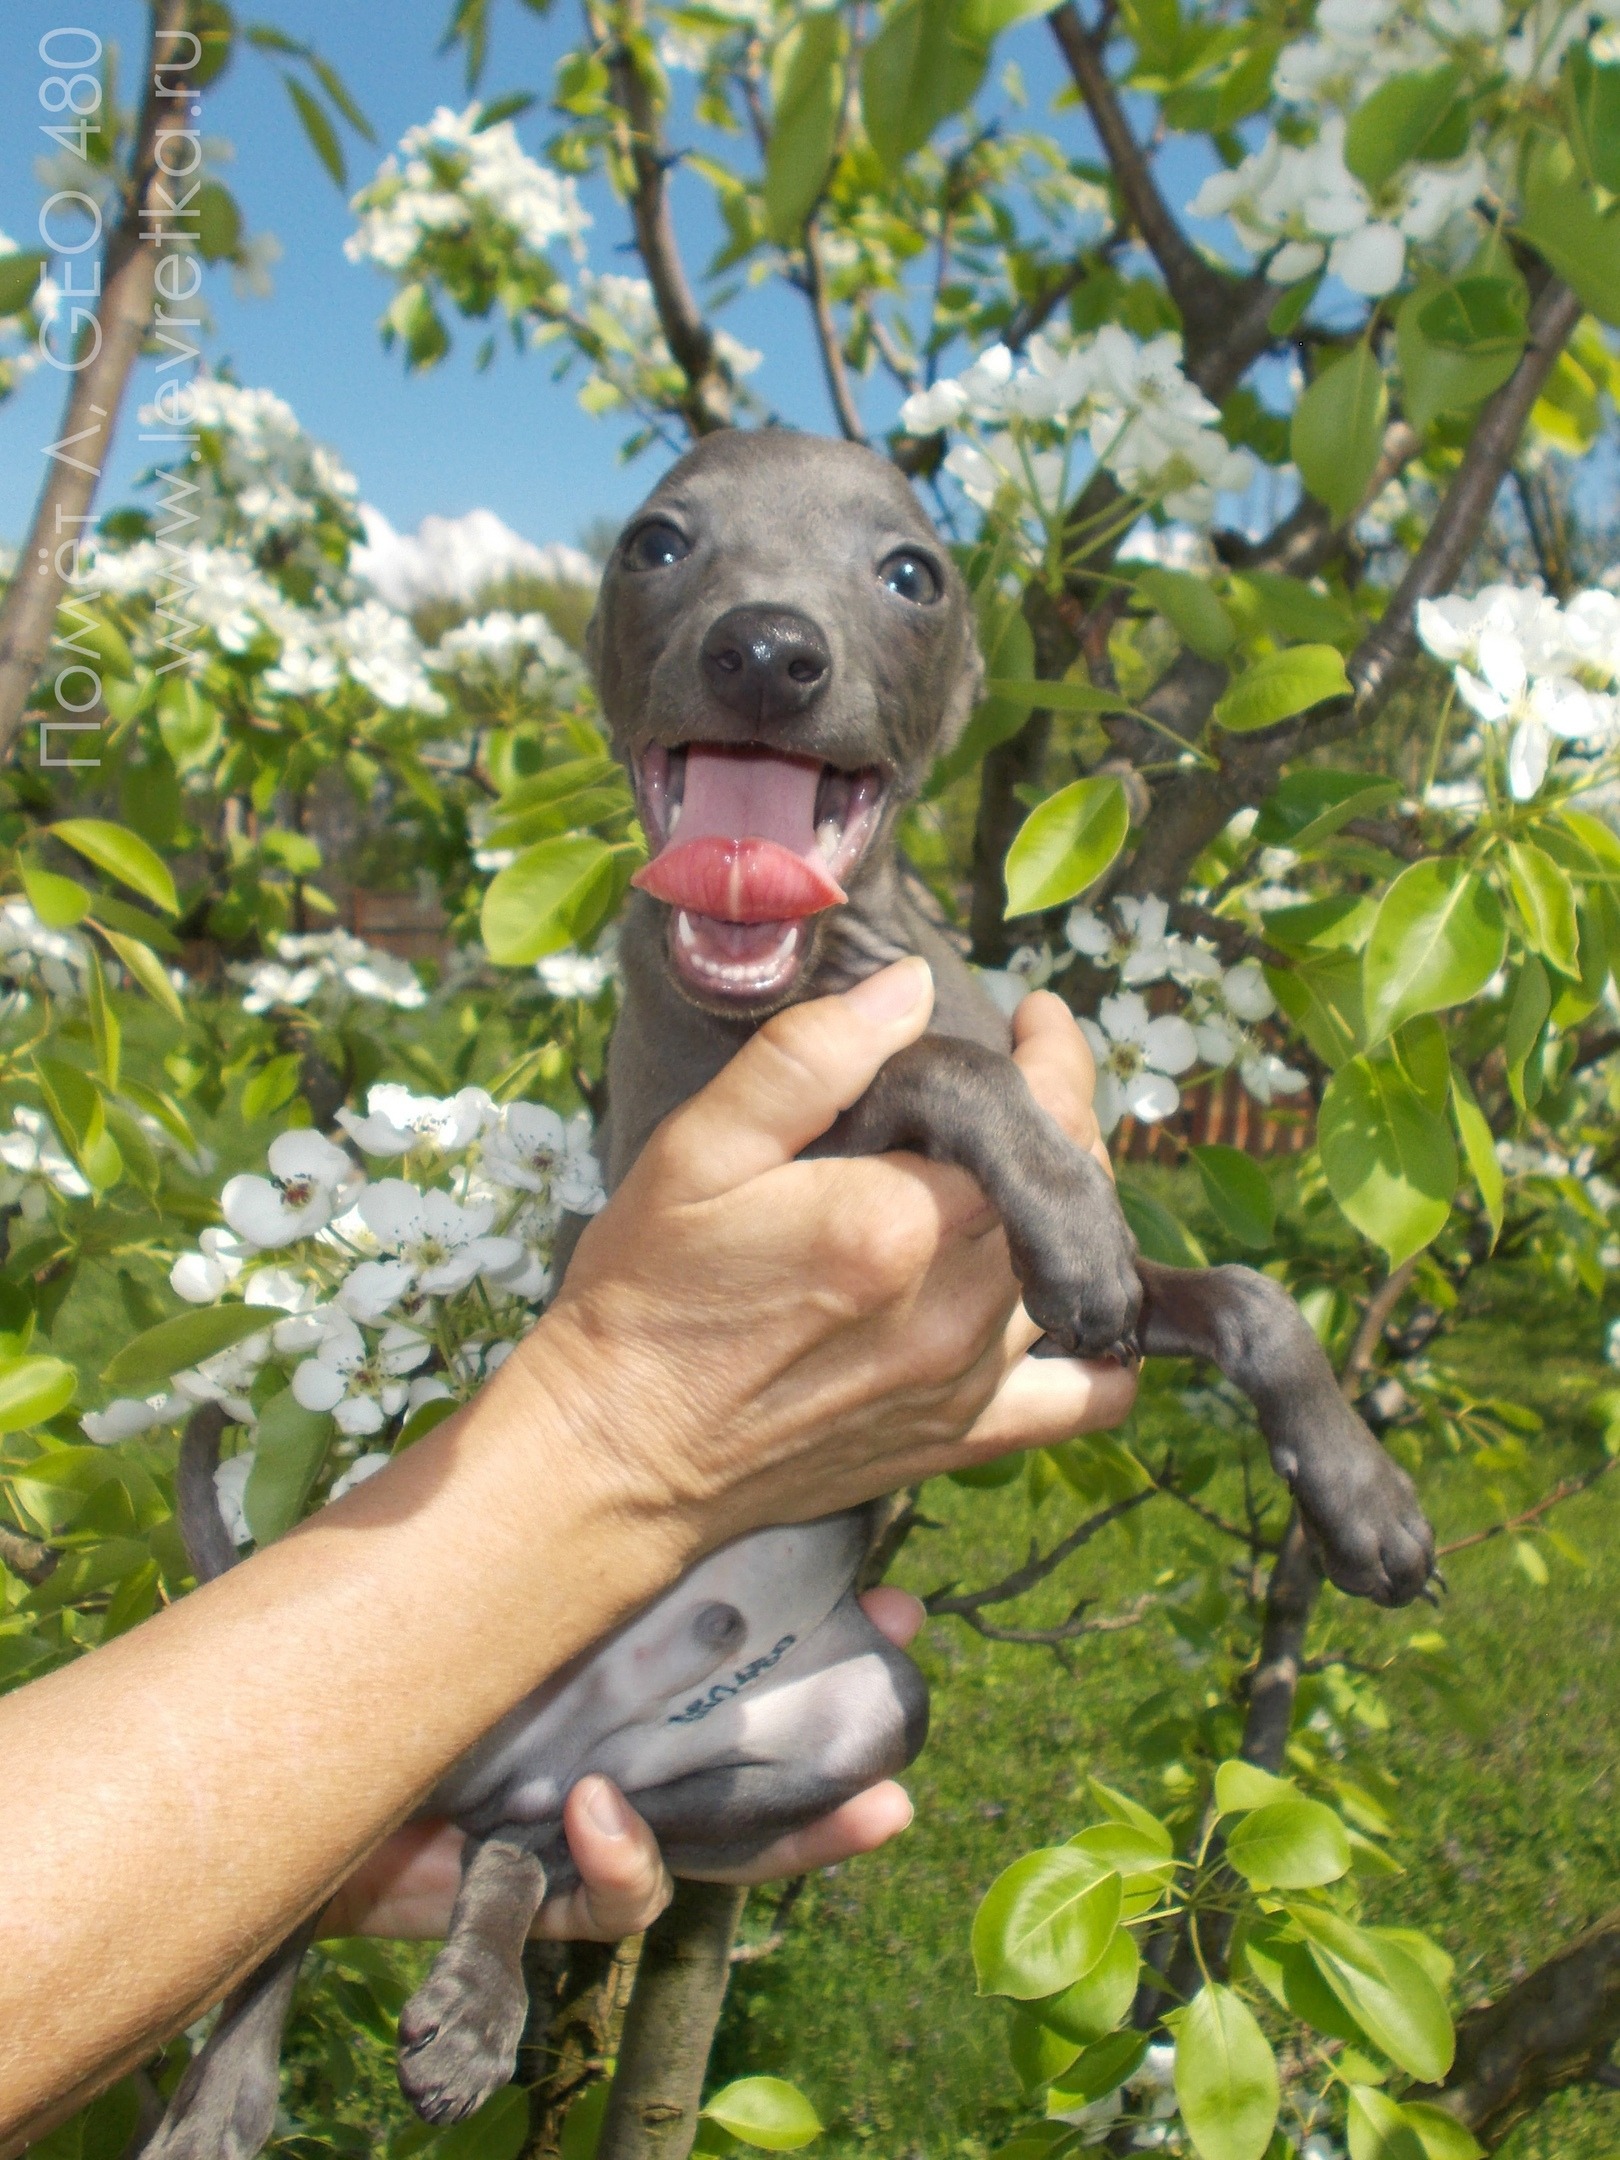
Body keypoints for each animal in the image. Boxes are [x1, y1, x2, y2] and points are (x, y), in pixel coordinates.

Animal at [150, 430, 1433, 2157]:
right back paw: (228, 2090)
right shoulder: (739, 1147)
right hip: (400, 1725)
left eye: (913, 572)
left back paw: (477, 2006)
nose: (767, 652)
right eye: (655, 543)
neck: (820, 969)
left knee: (534, 1839)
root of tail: (533, 1743)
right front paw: (1065, 1215)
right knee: (299, 1900)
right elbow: (939, 1063)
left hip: (833, 1728)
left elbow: (1248, 1294)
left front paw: (1361, 1500)